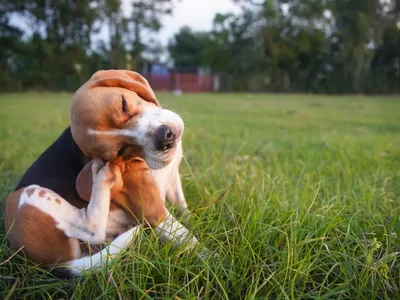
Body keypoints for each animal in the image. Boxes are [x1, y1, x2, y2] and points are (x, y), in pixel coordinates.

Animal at [4, 69, 200, 276]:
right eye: (121, 151)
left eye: (123, 105)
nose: (165, 138)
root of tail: (54, 265)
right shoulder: (154, 211)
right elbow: (192, 242)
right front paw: (211, 260)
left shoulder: (172, 179)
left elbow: (182, 207)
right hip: (28, 196)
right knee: (91, 227)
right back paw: (102, 177)